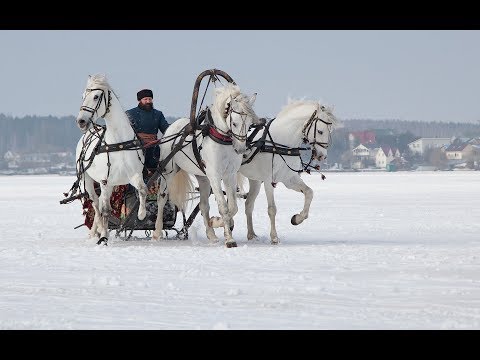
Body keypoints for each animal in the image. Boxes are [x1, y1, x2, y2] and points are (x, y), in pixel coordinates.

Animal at [73, 75, 146, 246]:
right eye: (83, 96)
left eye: (96, 96)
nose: (81, 121)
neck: (118, 143)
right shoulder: (104, 181)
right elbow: (105, 210)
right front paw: (104, 237)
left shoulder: (134, 175)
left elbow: (143, 190)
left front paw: (141, 215)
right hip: (87, 180)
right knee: (95, 203)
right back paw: (99, 230)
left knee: (99, 203)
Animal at [152, 83, 262, 248]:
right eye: (234, 123)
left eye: (249, 124)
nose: (241, 149)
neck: (221, 138)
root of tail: (173, 127)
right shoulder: (215, 175)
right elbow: (223, 206)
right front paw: (229, 239)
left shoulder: (229, 175)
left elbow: (232, 207)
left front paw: (218, 223)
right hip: (168, 171)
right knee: (162, 198)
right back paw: (157, 232)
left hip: (202, 177)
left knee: (203, 205)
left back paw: (211, 235)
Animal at [237, 98, 336, 245]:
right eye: (320, 131)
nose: (322, 156)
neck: (282, 142)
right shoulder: (268, 180)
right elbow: (272, 209)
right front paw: (274, 237)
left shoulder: (289, 179)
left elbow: (309, 192)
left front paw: (297, 218)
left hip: (255, 180)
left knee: (248, 204)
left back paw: (251, 234)